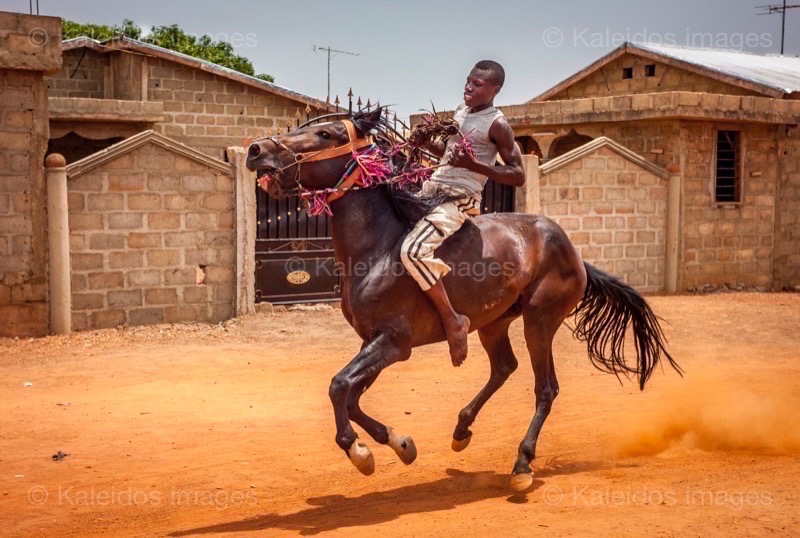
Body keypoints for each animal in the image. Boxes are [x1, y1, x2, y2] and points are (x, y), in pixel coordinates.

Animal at [245, 108, 680, 490]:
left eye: (325, 134)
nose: (254, 150)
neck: (379, 246)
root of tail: (572, 251)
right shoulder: (372, 343)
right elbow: (351, 397)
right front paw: (400, 444)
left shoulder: (393, 343)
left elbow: (338, 386)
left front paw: (360, 452)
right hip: (494, 323)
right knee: (504, 367)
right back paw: (461, 428)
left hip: (539, 320)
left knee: (546, 388)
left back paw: (522, 464)